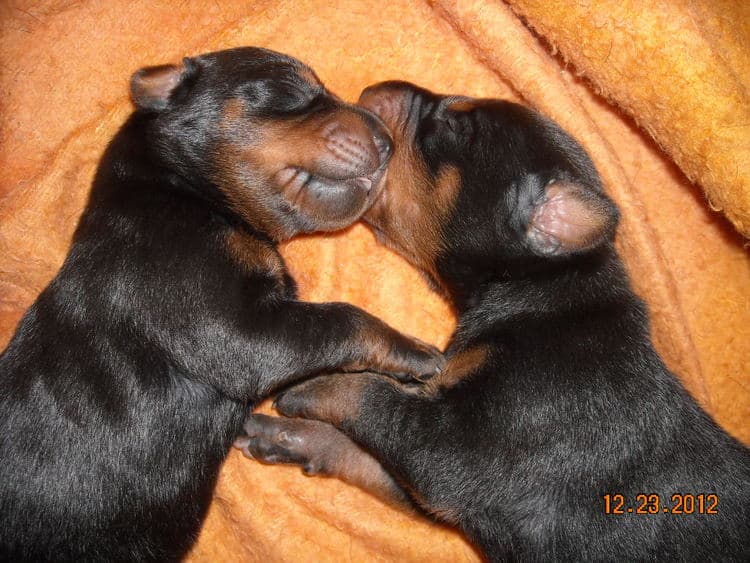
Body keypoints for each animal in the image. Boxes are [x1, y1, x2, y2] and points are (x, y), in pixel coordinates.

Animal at [0, 50, 446, 560]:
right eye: (291, 88)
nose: (388, 142)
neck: (179, 190)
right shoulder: (229, 327)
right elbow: (340, 319)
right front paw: (414, 352)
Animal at [241, 81, 750, 560]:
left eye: (456, 127)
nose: (376, 89)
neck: (540, 291)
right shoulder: (444, 484)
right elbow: (357, 451)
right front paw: (284, 436)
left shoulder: (455, 451)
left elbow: (371, 396)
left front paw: (311, 386)